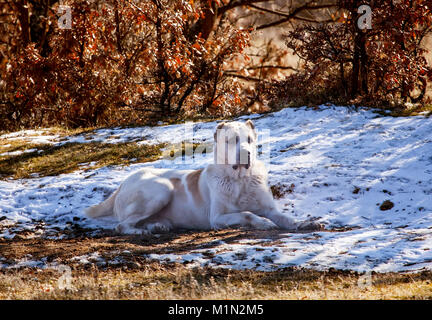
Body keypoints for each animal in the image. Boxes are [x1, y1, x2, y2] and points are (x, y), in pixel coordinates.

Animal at [85, 120, 320, 235]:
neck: (240, 179)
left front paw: (304, 223)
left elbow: (286, 218)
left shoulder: (270, 208)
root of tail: (123, 183)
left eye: (249, 140)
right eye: (231, 141)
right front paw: (263, 223)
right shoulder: (217, 218)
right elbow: (247, 214)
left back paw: (157, 227)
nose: (246, 153)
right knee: (121, 225)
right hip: (161, 189)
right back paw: (140, 231)